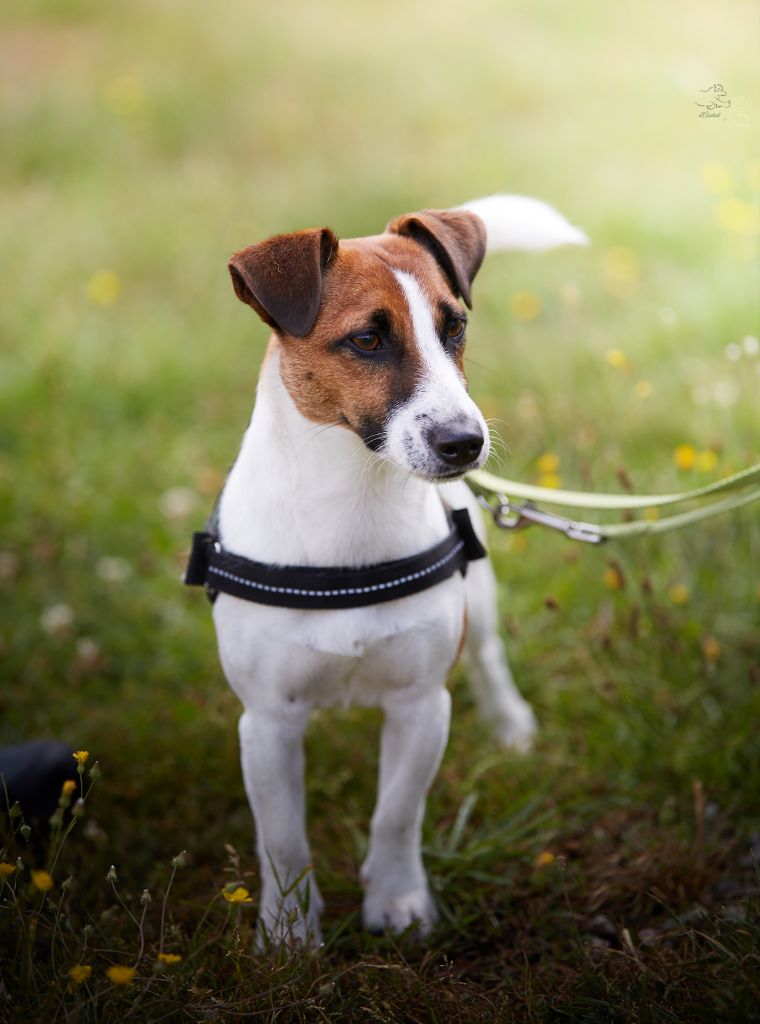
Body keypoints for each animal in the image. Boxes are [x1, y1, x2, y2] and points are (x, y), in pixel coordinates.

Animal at [187, 192, 585, 942]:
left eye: (454, 327)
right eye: (367, 341)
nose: (466, 443)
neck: (353, 503)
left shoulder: (420, 704)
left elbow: (398, 813)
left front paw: (398, 900)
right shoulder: (267, 723)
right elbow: (283, 839)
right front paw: (288, 931)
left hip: (479, 597)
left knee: (487, 655)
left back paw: (511, 723)